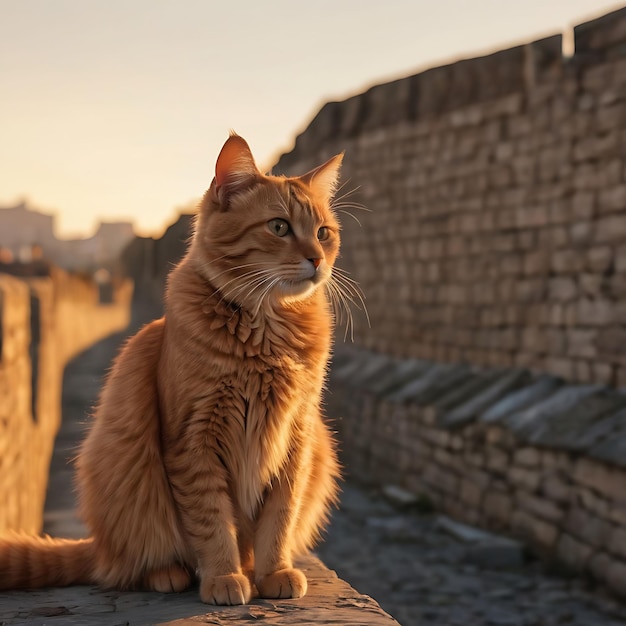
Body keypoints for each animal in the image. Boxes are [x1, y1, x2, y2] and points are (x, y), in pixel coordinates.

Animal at [0, 133, 342, 604]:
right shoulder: (193, 438)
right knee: (129, 564)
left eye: (324, 233)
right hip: (123, 465)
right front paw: (222, 577)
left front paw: (274, 572)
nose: (316, 259)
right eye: (279, 227)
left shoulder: (298, 436)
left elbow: (279, 518)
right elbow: (212, 521)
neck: (266, 332)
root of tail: (99, 546)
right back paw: (170, 573)